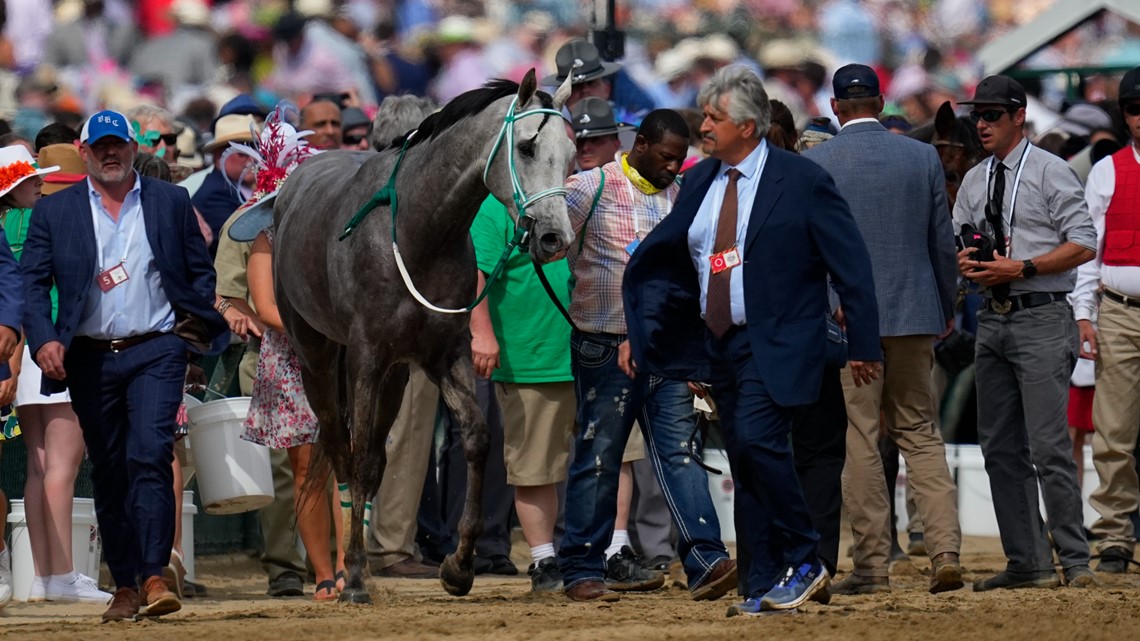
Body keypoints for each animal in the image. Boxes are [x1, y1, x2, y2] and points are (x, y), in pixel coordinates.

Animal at [270, 72, 574, 602]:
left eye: (572, 153)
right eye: (528, 146)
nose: (555, 238)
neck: (419, 232)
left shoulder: (444, 354)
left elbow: (476, 438)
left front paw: (459, 565)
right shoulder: (366, 357)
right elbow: (361, 461)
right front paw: (355, 576)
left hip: (396, 376)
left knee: (372, 453)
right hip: (316, 355)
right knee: (341, 447)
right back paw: (345, 571)